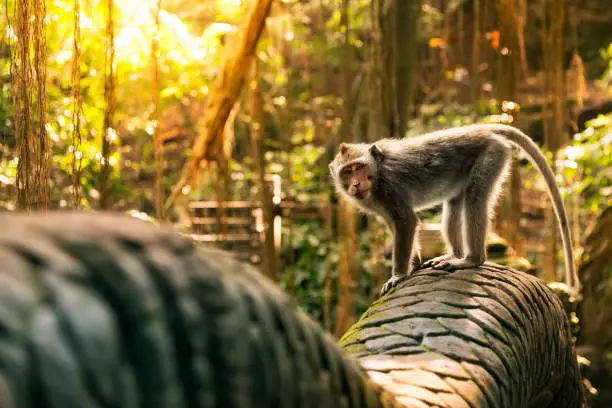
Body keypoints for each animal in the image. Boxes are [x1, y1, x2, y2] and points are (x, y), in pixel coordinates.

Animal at [330, 122, 580, 298]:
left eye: (359, 167)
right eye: (347, 172)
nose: (356, 184)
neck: (378, 174)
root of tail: (482, 129)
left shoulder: (390, 187)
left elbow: (406, 222)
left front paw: (398, 275)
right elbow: (396, 226)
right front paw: (415, 261)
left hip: (491, 155)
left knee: (475, 200)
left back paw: (472, 259)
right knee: (453, 204)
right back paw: (455, 255)